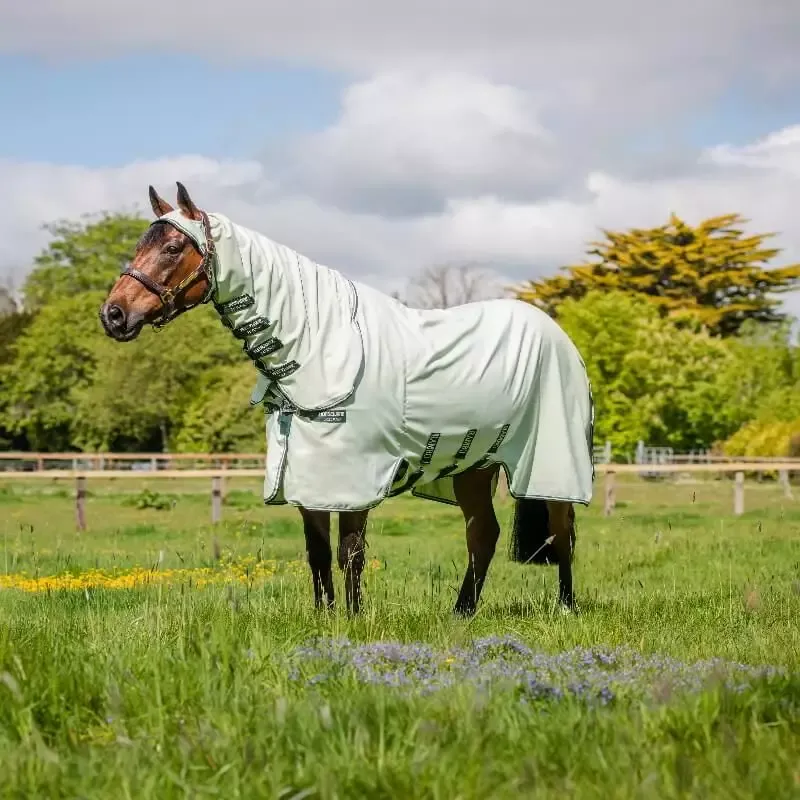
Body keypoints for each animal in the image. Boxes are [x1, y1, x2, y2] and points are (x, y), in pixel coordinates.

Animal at [100, 183, 595, 616]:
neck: (318, 345)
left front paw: (354, 619)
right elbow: (318, 552)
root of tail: (557, 334)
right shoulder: (306, 476)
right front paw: (325, 616)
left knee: (561, 530)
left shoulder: (353, 477)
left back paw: (565, 606)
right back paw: (463, 611)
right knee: (483, 535)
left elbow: (350, 552)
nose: (113, 315)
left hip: (551, 461)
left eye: (171, 248)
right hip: (473, 465)